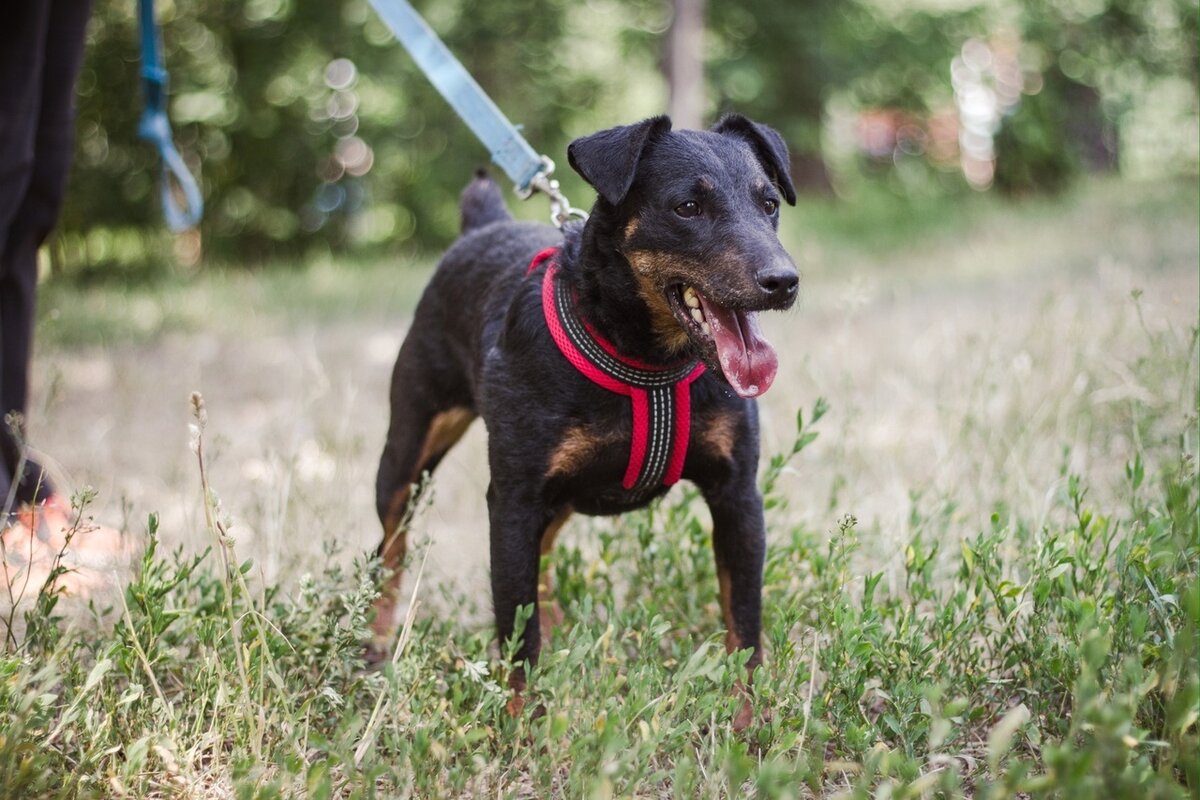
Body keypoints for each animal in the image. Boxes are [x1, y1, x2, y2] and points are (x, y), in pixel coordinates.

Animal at [374, 115, 796, 729]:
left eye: (770, 204)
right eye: (688, 206)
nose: (783, 281)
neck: (648, 362)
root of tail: (485, 226)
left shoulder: (737, 495)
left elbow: (744, 626)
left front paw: (748, 725)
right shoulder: (513, 501)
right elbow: (516, 634)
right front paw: (522, 729)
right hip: (407, 450)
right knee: (390, 548)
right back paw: (377, 645)